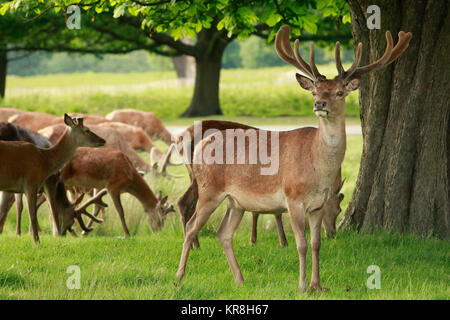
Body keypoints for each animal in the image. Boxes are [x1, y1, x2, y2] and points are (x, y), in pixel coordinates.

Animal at [176, 120, 344, 248]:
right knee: (186, 203)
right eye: (337, 210)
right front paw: (281, 241)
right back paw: (195, 244)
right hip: (204, 178)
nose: (332, 233)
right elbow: (272, 212)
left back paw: (193, 244)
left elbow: (258, 211)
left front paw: (256, 240)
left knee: (184, 202)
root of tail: (180, 139)